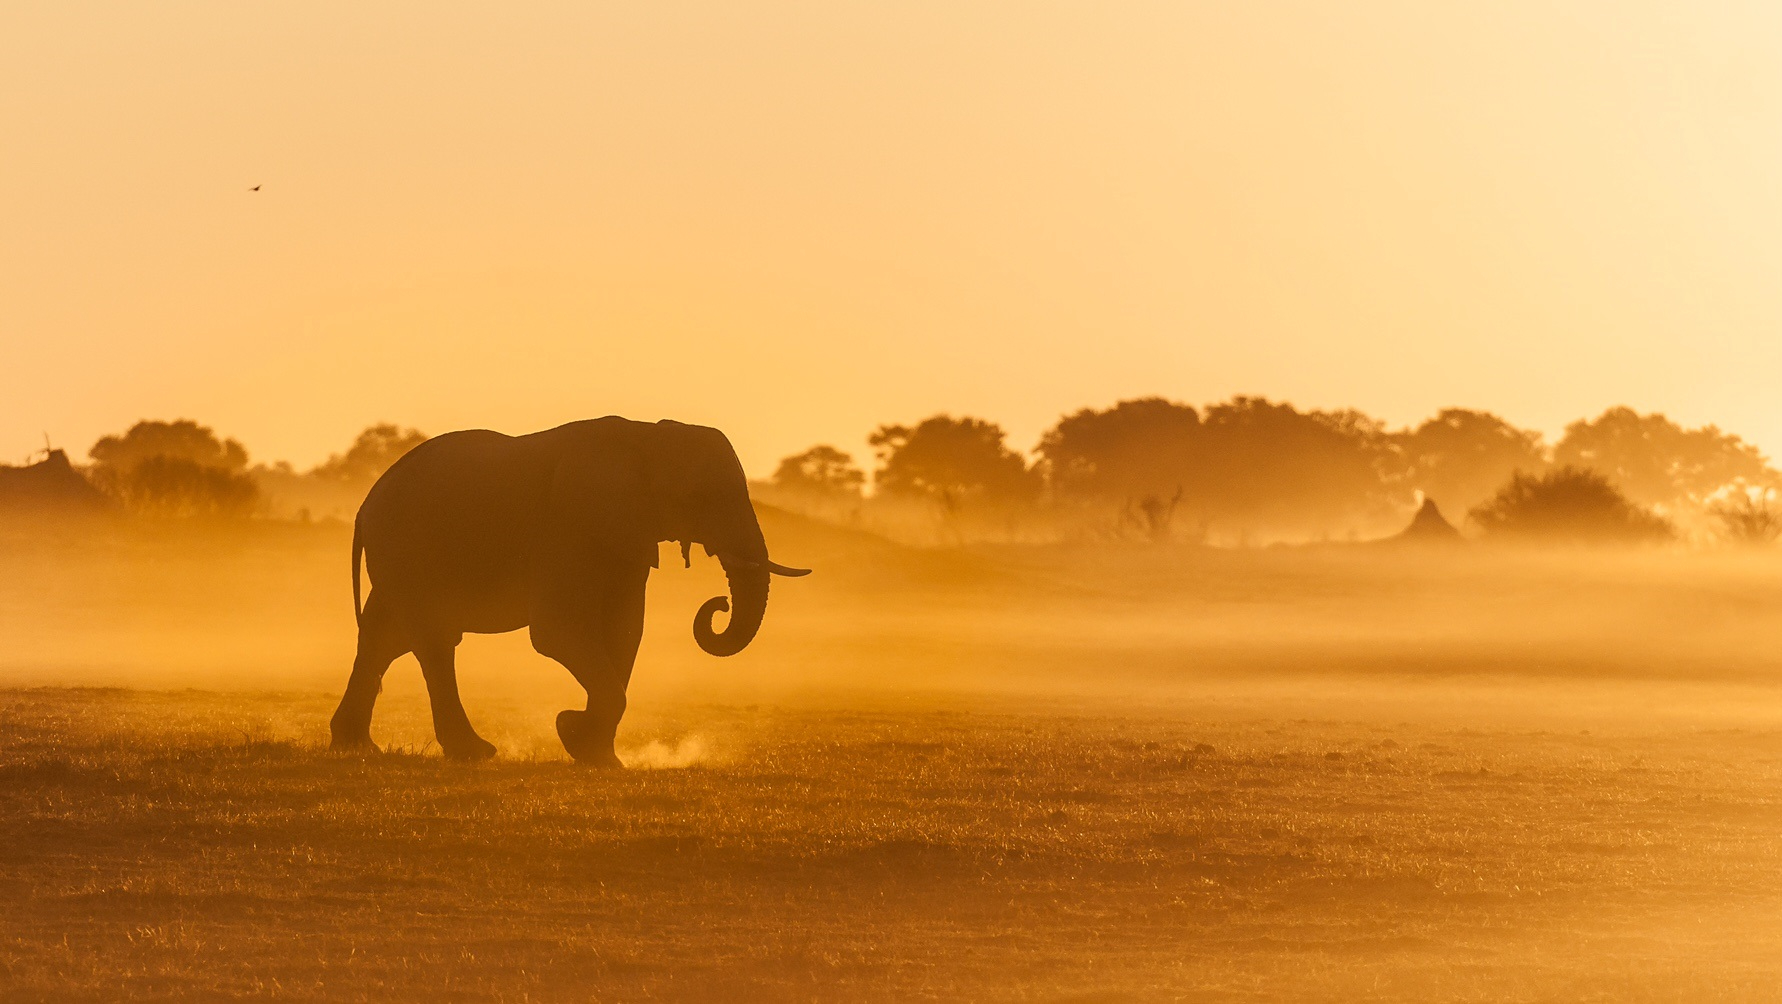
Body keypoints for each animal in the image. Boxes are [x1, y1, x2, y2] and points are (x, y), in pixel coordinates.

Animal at [327, 417, 809, 766]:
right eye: (700, 496)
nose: (719, 604)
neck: (647, 436)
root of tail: (365, 506)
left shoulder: (627, 537)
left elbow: (624, 631)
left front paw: (592, 750)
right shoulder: (566, 531)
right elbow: (558, 633)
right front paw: (574, 734)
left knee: (383, 640)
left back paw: (356, 749)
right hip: (408, 550)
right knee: (433, 641)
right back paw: (473, 753)